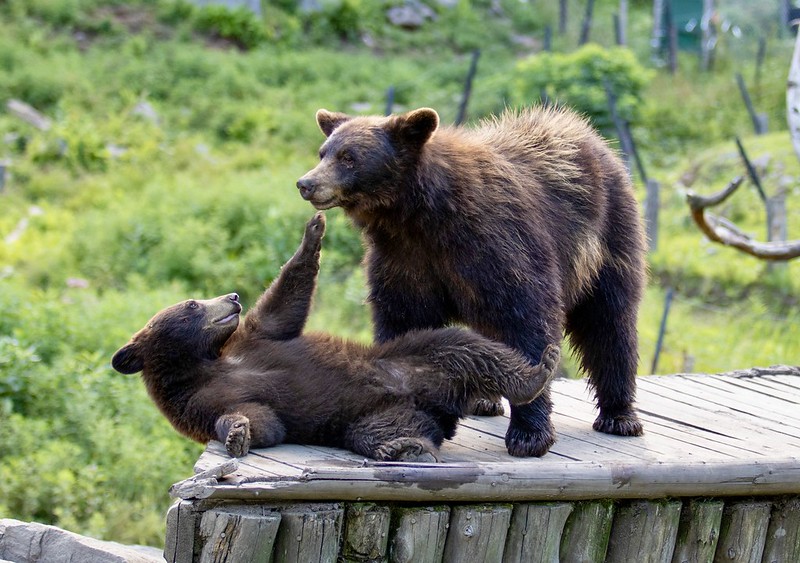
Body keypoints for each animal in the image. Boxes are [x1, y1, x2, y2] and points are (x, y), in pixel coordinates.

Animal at [112, 213, 560, 461]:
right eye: (191, 303)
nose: (233, 297)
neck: (205, 363)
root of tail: (441, 406)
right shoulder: (198, 402)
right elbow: (260, 419)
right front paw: (237, 432)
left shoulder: (252, 341)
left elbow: (280, 310)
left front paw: (313, 231)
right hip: (372, 415)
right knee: (381, 431)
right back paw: (403, 448)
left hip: (411, 356)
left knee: (465, 348)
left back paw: (537, 369)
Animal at [296, 105, 647, 458]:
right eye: (324, 152)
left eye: (349, 157)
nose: (306, 183)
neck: (419, 217)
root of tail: (590, 133)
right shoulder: (404, 261)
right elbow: (402, 319)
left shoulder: (499, 244)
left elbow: (528, 321)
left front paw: (529, 435)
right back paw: (485, 400)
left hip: (607, 239)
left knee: (609, 324)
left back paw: (619, 415)